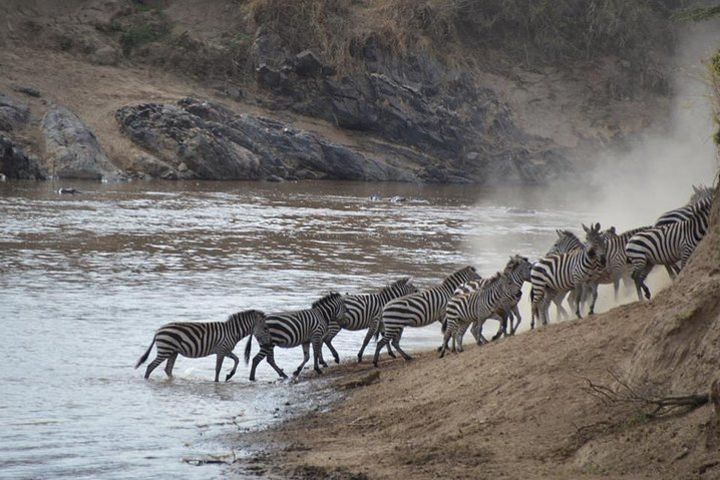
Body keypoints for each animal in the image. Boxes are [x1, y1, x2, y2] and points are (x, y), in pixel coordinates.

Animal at [134, 308, 264, 382]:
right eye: (266, 328)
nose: (265, 343)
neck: (232, 331)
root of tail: (158, 331)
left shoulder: (226, 350)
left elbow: (236, 359)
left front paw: (229, 375)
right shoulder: (221, 350)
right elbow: (218, 368)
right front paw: (217, 381)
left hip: (173, 352)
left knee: (168, 369)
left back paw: (174, 380)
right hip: (165, 350)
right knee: (150, 366)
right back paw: (146, 380)